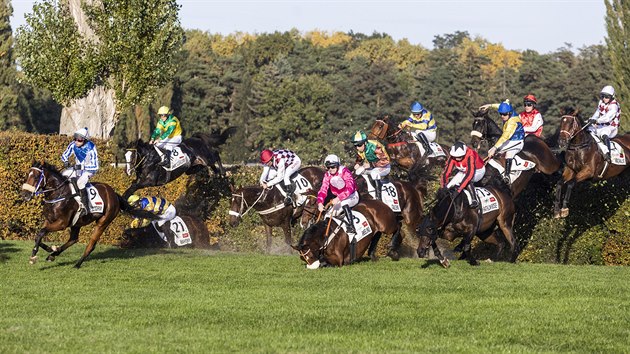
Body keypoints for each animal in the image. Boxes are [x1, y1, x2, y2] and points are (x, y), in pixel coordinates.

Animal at [19, 161, 156, 268]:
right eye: (27, 175)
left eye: (36, 177)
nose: (25, 195)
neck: (58, 194)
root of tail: (114, 194)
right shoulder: (49, 220)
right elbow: (39, 234)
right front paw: (50, 249)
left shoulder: (62, 223)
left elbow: (41, 232)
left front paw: (33, 256)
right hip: (77, 223)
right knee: (73, 239)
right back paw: (53, 254)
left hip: (103, 222)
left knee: (91, 244)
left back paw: (77, 264)